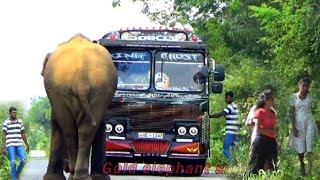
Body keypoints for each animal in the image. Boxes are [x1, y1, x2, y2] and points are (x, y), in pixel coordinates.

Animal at [42, 33, 117, 180]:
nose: (65, 167)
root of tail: (81, 79)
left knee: (71, 130)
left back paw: (76, 175)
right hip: (93, 90)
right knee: (80, 131)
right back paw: (80, 176)